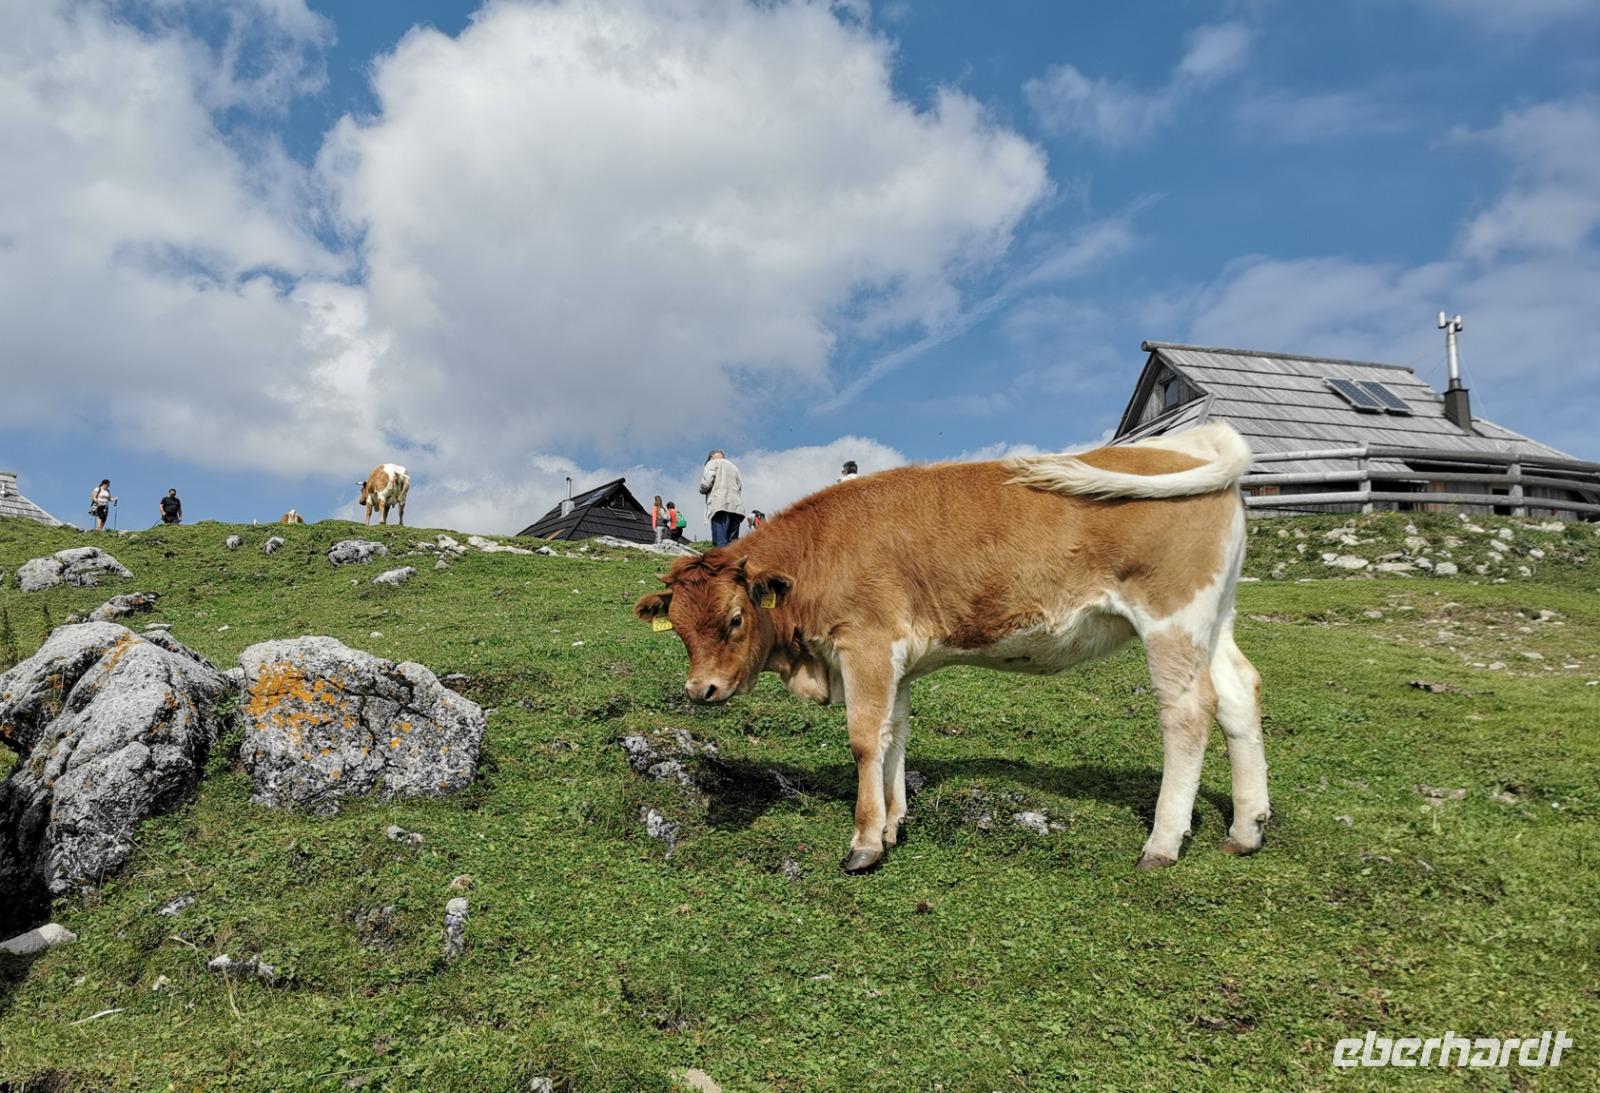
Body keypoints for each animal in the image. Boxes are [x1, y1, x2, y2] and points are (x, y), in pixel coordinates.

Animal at [635, 423, 1268, 875]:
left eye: (736, 618)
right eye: (681, 630)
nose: (701, 689)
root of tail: (1184, 447)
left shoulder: (866, 645)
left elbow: (865, 739)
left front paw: (864, 843)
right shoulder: (897, 661)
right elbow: (893, 736)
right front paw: (892, 826)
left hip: (1171, 619)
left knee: (1188, 711)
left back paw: (1162, 842)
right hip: (1214, 619)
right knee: (1240, 692)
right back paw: (1246, 829)